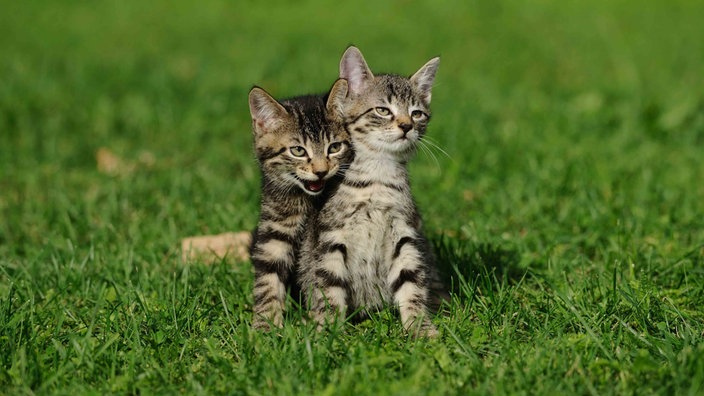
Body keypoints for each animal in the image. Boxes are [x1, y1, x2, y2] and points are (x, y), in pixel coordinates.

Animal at [250, 79, 354, 332]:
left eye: (334, 147)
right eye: (298, 150)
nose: (321, 171)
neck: (307, 200)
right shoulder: (275, 224)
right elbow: (268, 276)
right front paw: (264, 327)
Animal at [300, 46, 442, 338]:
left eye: (417, 114)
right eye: (383, 110)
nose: (406, 126)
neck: (378, 176)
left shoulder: (403, 232)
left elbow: (411, 282)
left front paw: (419, 327)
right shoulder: (332, 237)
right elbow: (329, 287)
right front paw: (328, 331)